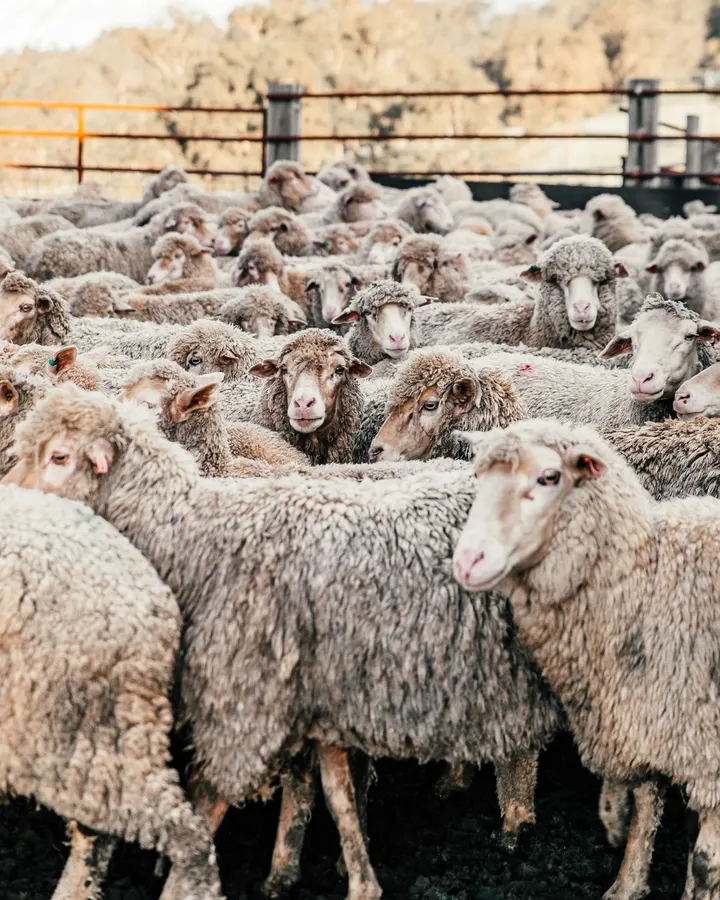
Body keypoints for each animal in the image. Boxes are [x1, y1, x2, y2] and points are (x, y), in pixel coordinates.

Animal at [452, 416, 720, 900]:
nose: (467, 560)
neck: (648, 586)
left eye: (549, 477)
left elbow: (706, 860)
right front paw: (627, 884)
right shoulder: (646, 723)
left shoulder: (707, 754)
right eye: (478, 476)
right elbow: (646, 811)